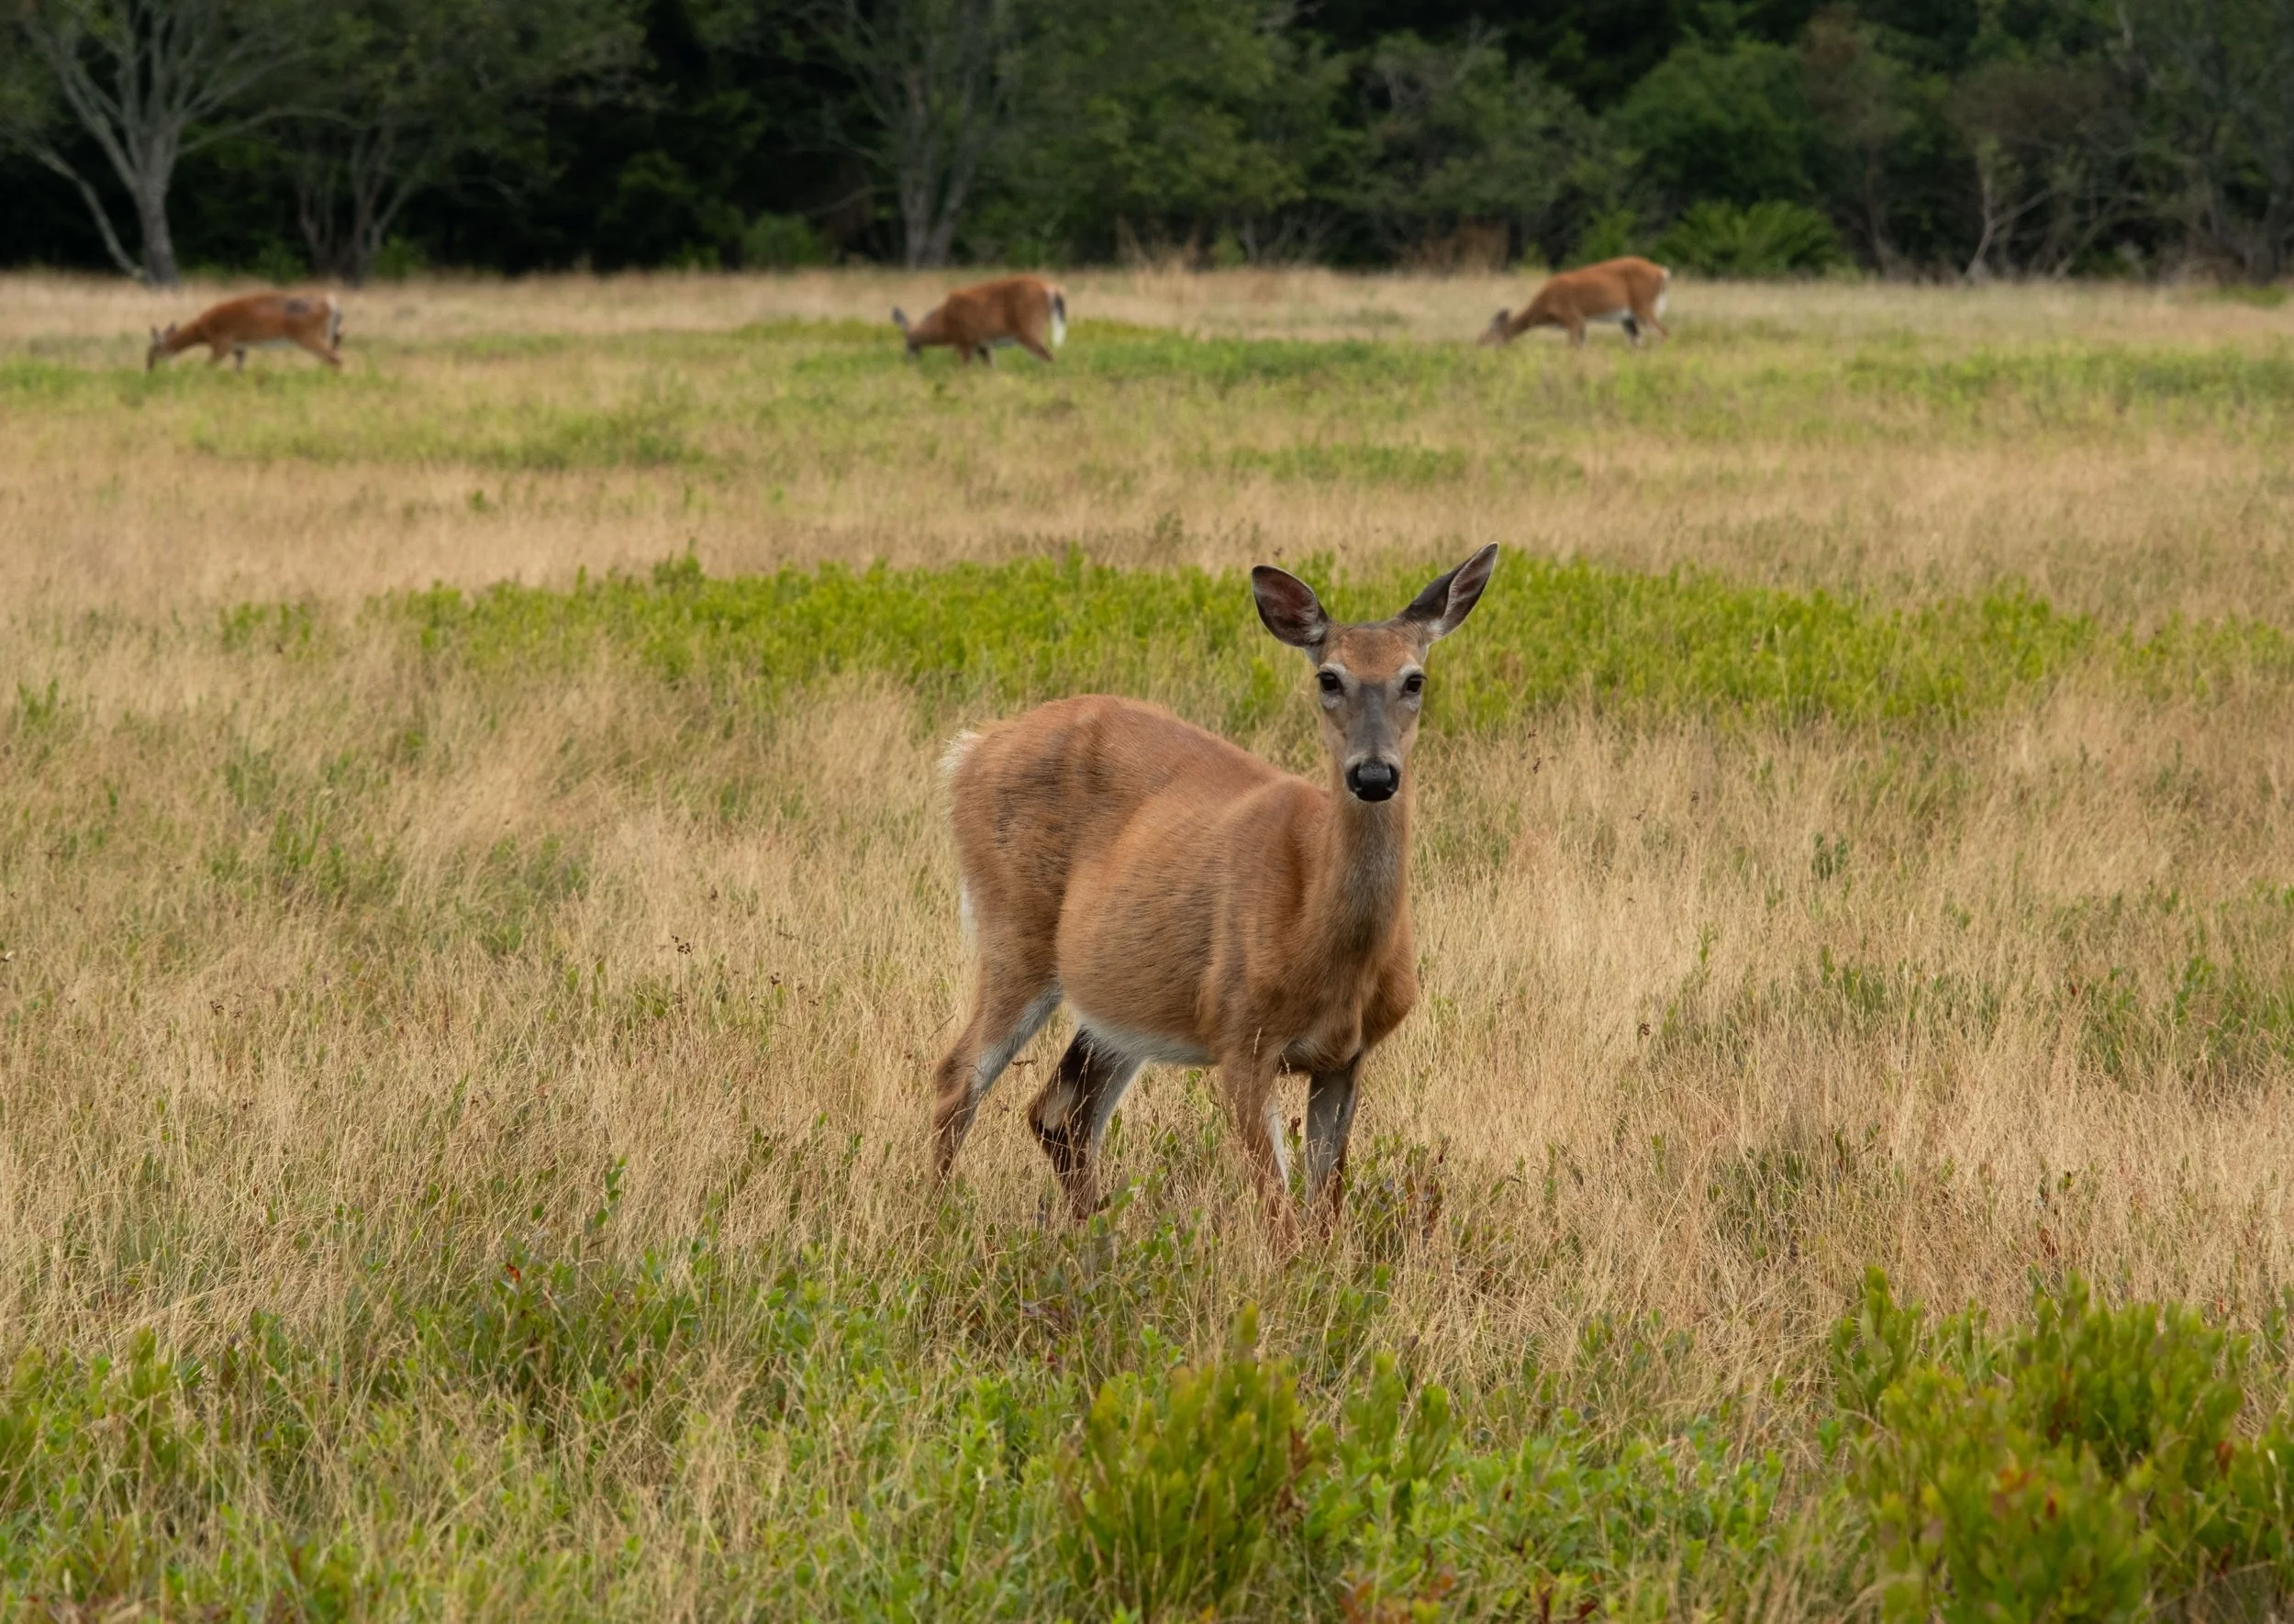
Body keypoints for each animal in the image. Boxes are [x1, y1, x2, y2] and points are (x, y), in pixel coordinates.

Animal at [147, 292, 344, 372]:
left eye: (154, 351)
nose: (149, 369)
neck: (202, 330)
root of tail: (332, 304)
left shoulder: (222, 343)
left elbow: (207, 367)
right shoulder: (239, 347)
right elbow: (238, 371)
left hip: (307, 335)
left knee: (335, 358)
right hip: (323, 335)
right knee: (332, 357)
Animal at [892, 274, 1067, 366]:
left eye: (907, 341)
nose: (905, 359)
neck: (944, 323)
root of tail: (1052, 289)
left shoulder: (965, 341)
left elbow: (963, 368)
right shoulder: (982, 344)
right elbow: (991, 367)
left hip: (1029, 328)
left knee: (1048, 356)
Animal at [930, 545, 1500, 1245]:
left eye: (1414, 679)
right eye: (1329, 678)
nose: (1373, 774)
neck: (1323, 943)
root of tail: (969, 751)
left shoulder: (1347, 1056)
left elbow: (1324, 1209)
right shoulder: (1240, 1035)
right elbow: (1280, 1220)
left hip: (1118, 997)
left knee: (1060, 1111)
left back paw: (1103, 1242)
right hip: (1014, 927)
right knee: (958, 1079)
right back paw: (930, 1222)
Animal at [1481, 256, 1670, 349]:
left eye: (1488, 334)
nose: (1478, 345)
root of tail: (1662, 272)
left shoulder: (1572, 317)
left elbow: (1572, 348)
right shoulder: (1582, 322)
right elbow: (1582, 347)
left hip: (1644, 305)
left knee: (1663, 332)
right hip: (1627, 317)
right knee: (1638, 341)